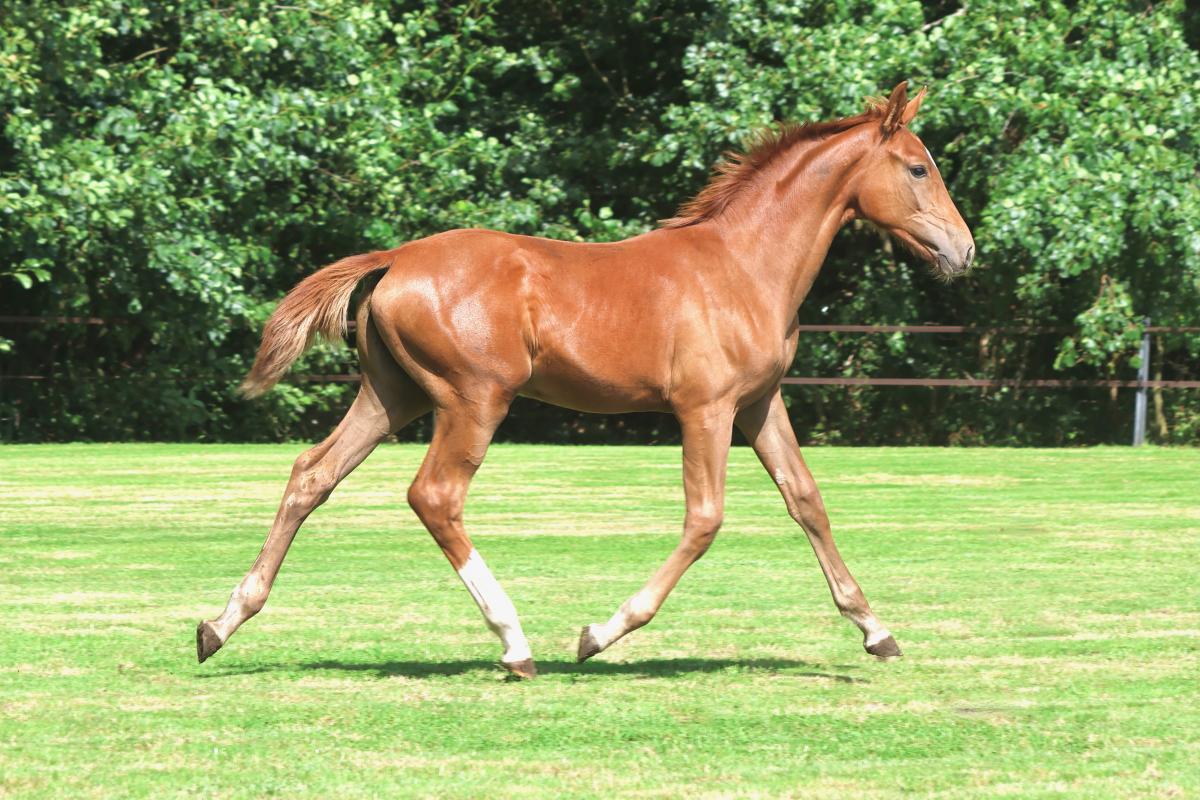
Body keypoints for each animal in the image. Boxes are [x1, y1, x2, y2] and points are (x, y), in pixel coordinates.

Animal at [196, 82, 974, 678]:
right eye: (917, 168)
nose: (964, 250)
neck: (743, 265)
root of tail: (397, 258)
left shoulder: (759, 404)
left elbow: (807, 501)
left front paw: (876, 631)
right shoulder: (706, 408)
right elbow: (705, 518)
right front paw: (601, 633)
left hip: (393, 395)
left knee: (312, 473)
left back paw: (221, 623)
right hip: (474, 400)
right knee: (435, 496)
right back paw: (515, 644)